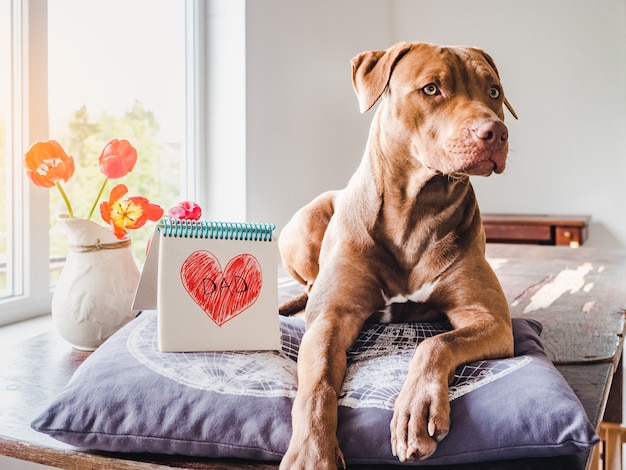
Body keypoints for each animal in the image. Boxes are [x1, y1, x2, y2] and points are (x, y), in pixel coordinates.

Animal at [280, 42, 516, 468]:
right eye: (431, 89)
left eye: (494, 92)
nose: (496, 132)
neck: (416, 211)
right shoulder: (330, 319)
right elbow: (318, 383)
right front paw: (311, 451)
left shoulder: (490, 320)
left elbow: (434, 344)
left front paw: (415, 413)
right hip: (307, 221)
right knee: (308, 283)